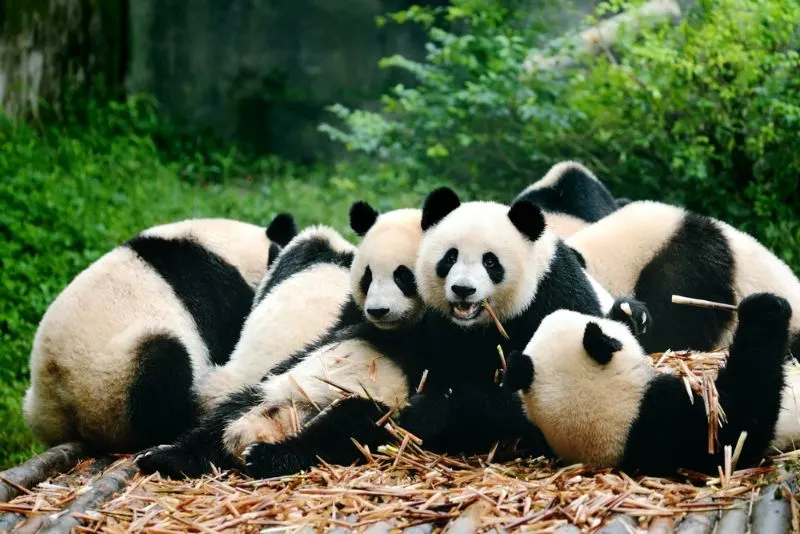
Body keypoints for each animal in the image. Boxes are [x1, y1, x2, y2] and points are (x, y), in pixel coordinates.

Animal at [136, 203, 432, 480]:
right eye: (368, 277)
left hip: (373, 406)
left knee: (342, 431)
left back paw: (266, 456)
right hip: (266, 391)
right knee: (219, 421)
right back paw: (166, 457)